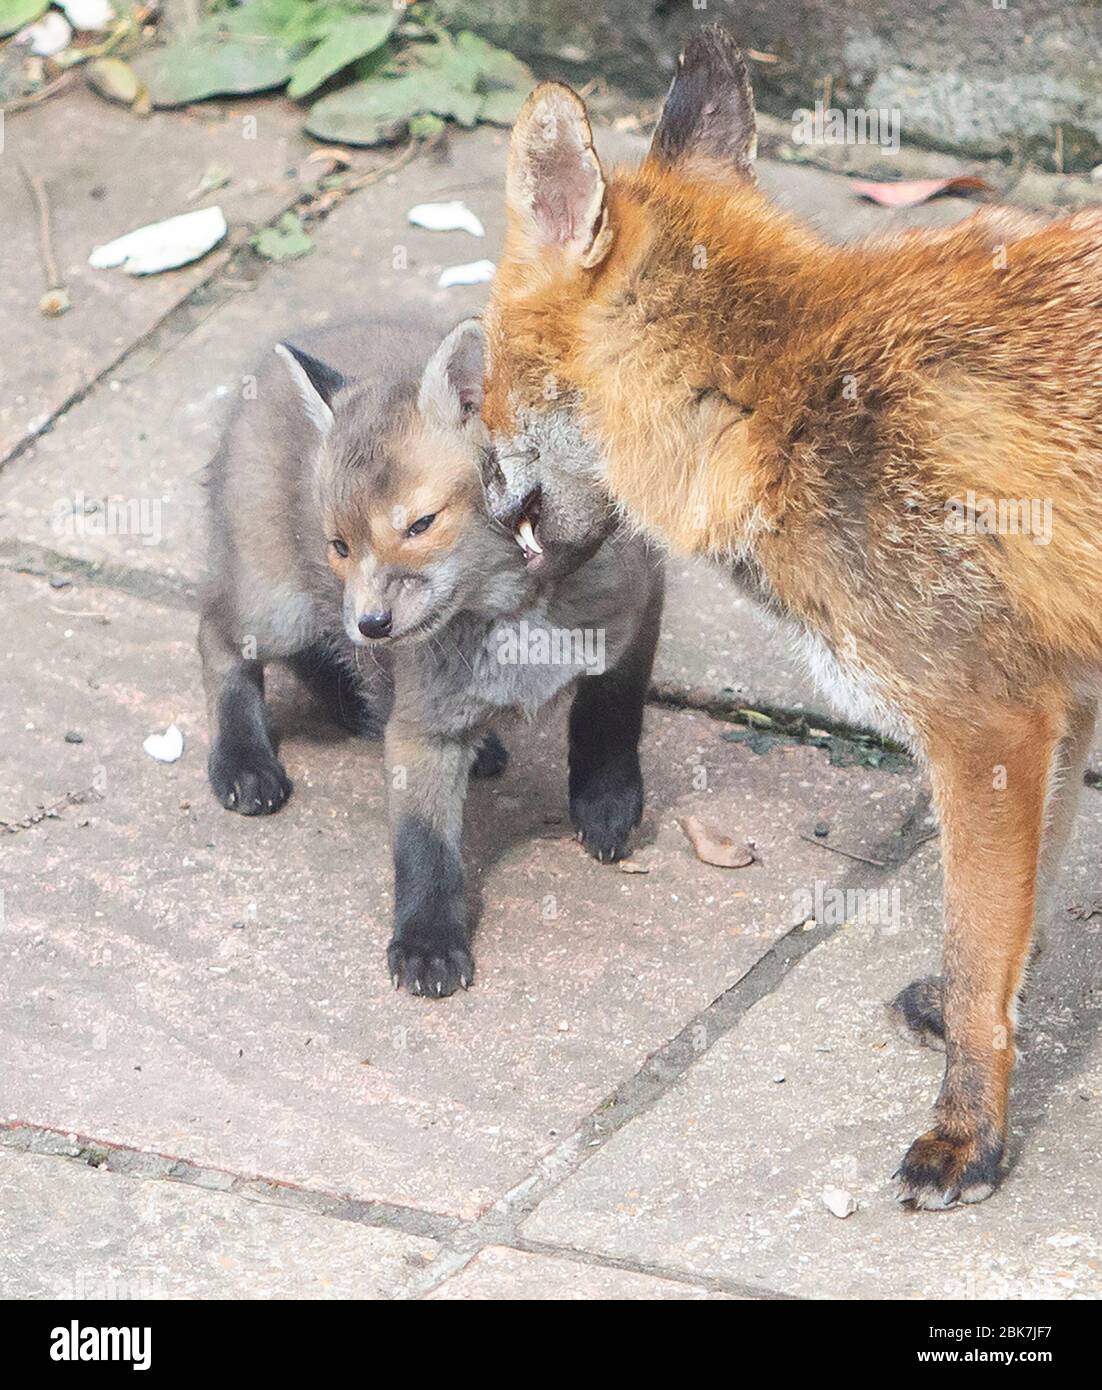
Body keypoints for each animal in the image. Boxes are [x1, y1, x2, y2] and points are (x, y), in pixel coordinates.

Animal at [478, 27, 1100, 1212]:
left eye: (478, 373)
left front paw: (968, 1133)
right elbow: (1021, 918)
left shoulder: (987, 721)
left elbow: (982, 956)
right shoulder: (1060, 700)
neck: (779, 396)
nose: (478, 504)